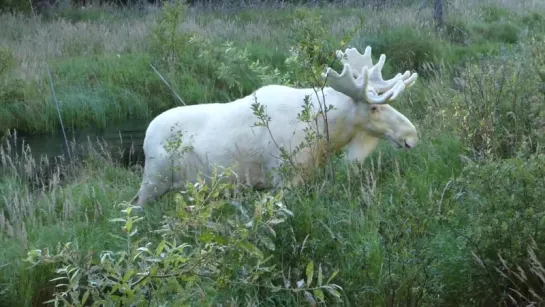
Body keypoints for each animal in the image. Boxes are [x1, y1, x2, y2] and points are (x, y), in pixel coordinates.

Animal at [130, 45, 418, 208]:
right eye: (374, 107)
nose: (411, 135)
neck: (328, 134)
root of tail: (145, 136)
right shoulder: (283, 179)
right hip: (153, 181)